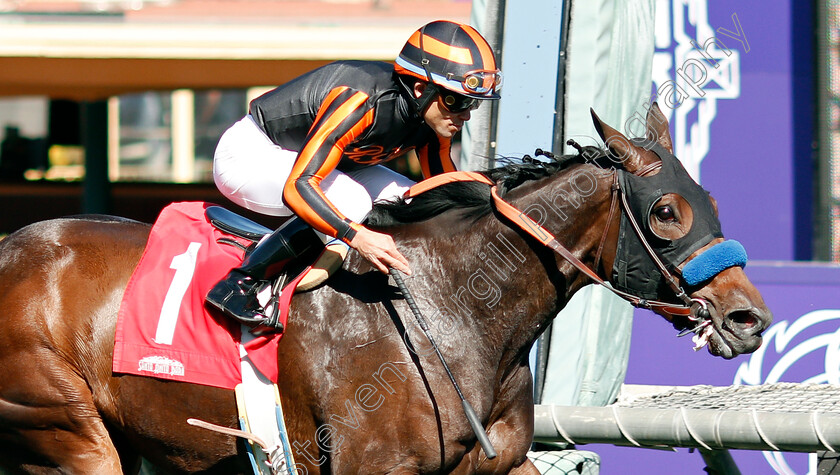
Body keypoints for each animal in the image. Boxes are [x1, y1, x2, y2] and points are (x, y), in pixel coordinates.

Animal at [0, 105, 772, 475]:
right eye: (667, 211)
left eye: (708, 198)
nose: (749, 317)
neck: (455, 307)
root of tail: (11, 245)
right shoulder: (372, 467)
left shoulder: (495, 465)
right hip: (64, 426)